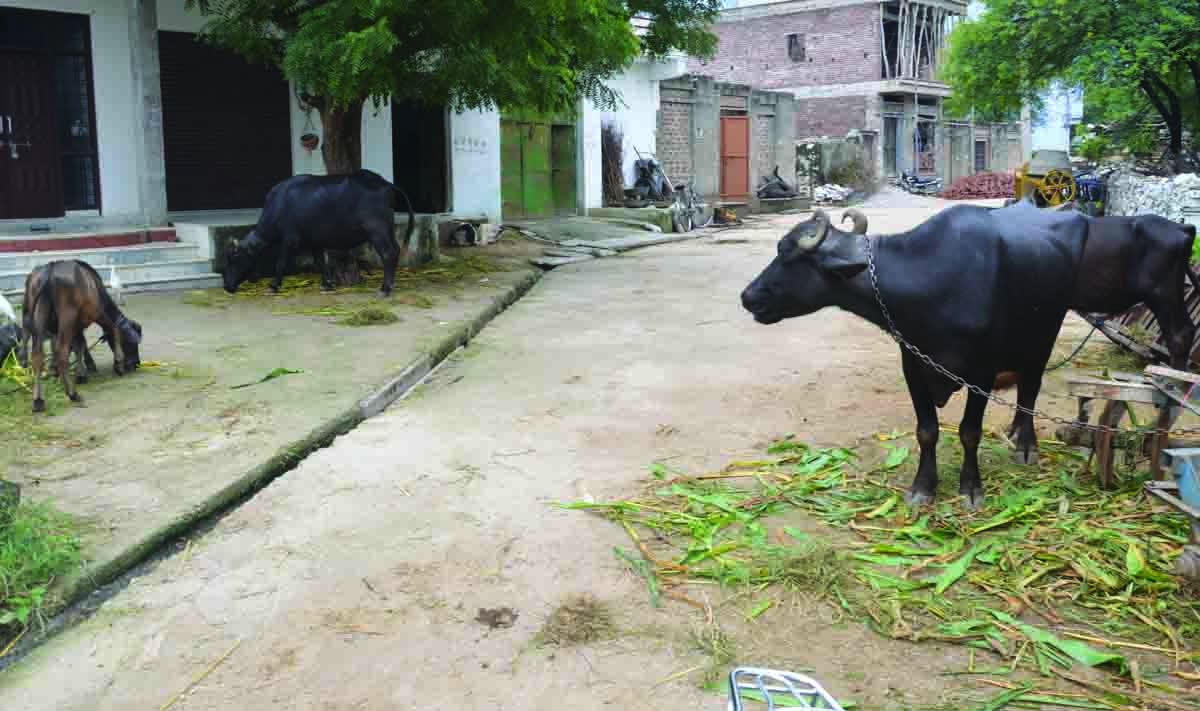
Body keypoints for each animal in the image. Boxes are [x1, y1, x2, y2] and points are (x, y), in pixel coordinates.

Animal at [21, 259, 142, 413]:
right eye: (132, 344)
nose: (136, 364)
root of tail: (51, 268)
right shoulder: (98, 314)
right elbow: (113, 328)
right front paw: (118, 364)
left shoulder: (76, 327)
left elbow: (79, 345)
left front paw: (80, 373)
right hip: (67, 317)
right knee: (61, 351)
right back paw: (72, 394)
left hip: (36, 317)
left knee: (37, 354)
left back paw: (38, 400)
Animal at [225, 168, 417, 295]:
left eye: (234, 258)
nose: (227, 286)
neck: (280, 205)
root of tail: (384, 182)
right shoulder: (314, 242)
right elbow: (320, 262)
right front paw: (327, 285)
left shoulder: (290, 240)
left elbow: (280, 263)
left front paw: (273, 286)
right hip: (387, 229)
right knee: (396, 250)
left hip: (377, 230)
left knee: (388, 253)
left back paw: (385, 289)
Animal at [734, 202, 1094, 509]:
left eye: (790, 255)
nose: (748, 296)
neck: (934, 283)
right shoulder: (914, 365)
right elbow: (927, 431)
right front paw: (923, 487)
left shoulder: (982, 371)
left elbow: (970, 432)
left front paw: (971, 487)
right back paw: (1016, 430)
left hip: (1045, 334)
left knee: (1030, 388)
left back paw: (1026, 446)